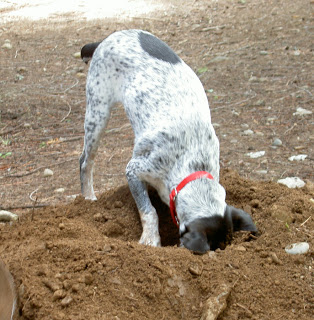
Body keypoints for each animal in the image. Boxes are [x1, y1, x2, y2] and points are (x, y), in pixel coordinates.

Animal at [79, 30, 258, 255]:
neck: (193, 163)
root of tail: (107, 38)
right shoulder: (133, 169)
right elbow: (149, 211)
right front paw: (151, 239)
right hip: (98, 111)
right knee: (85, 161)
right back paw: (88, 198)